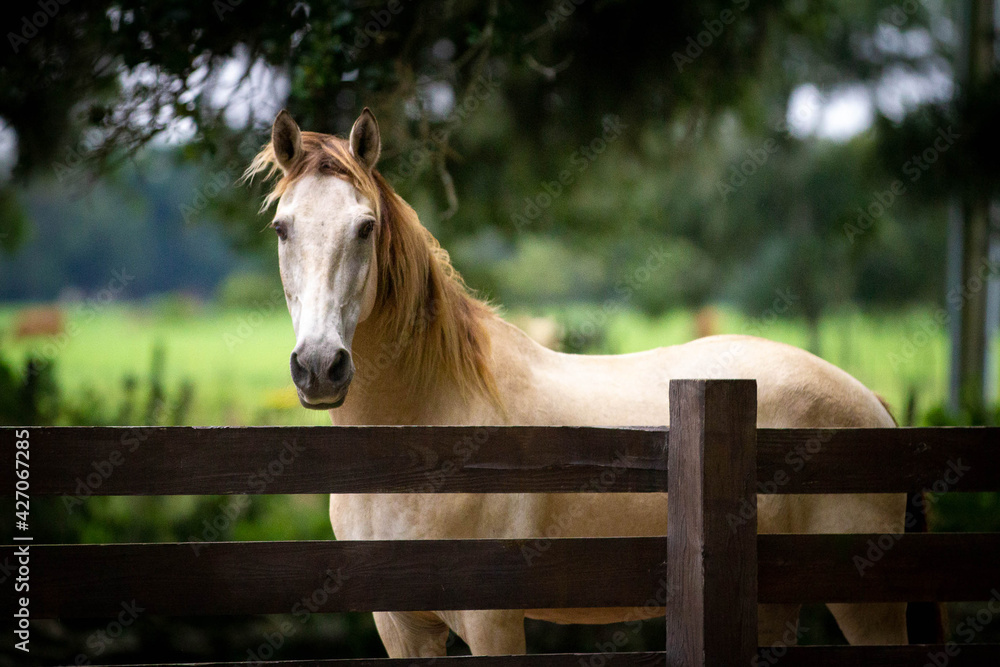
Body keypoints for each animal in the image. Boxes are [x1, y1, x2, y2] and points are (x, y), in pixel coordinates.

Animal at [245, 108, 906, 656]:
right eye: (282, 228)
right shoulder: (400, 625)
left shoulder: (492, 622)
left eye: (364, 227)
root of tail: (870, 401)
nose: (319, 365)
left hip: (867, 609)